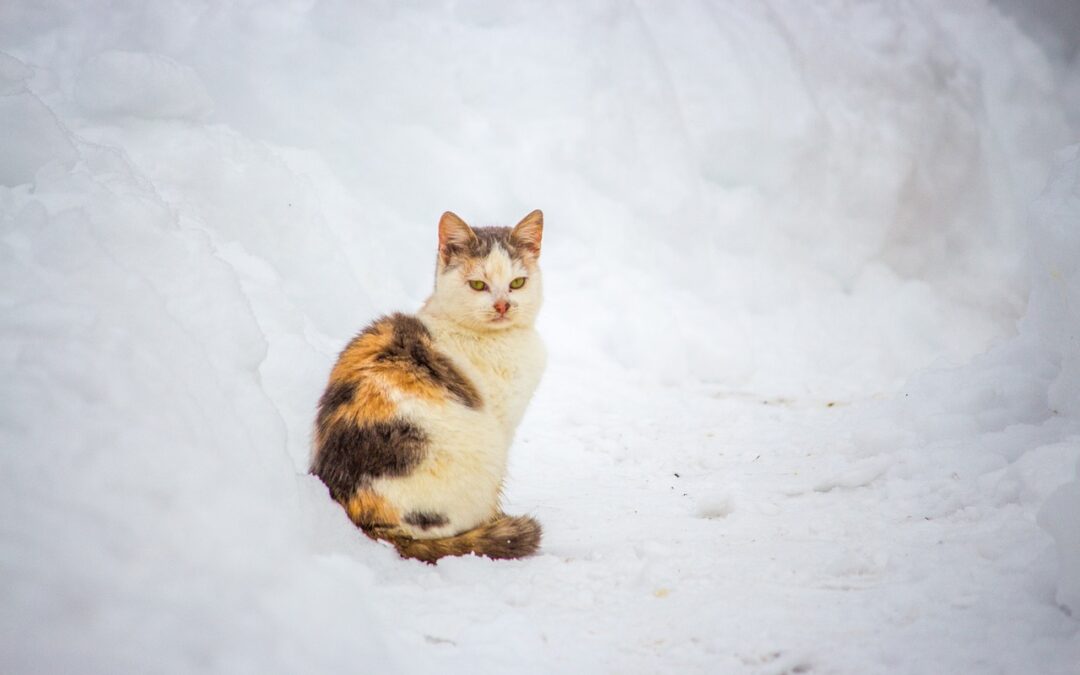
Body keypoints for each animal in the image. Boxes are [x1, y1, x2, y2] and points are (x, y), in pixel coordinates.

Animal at [313, 208, 548, 561]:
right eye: (478, 285)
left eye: (517, 283)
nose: (502, 305)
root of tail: (368, 521)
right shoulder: (503, 422)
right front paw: (498, 523)